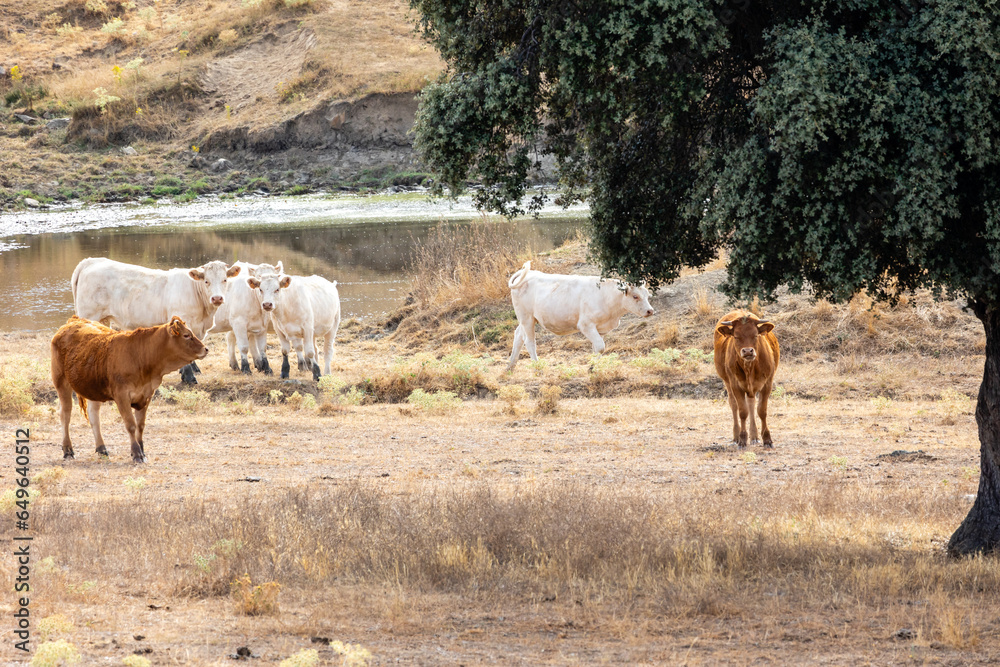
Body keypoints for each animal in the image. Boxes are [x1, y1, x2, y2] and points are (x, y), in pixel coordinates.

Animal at [51, 315, 209, 463]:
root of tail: (74, 321)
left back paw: (102, 449)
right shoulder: (122, 396)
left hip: (93, 388)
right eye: (186, 335)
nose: (205, 349)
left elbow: (140, 425)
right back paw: (68, 450)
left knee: (94, 416)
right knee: (65, 415)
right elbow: (131, 425)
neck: (139, 355)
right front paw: (136, 453)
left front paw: (142, 451)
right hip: (61, 383)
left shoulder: (146, 395)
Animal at [71, 257, 240, 384]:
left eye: (225, 280)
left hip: (102, 320)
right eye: (206, 281)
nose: (217, 298)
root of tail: (90, 261)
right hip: (89, 315)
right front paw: (189, 378)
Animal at [505, 261, 654, 370]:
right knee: (529, 342)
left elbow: (597, 348)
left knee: (518, 336)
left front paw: (595, 366)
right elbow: (600, 346)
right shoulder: (586, 324)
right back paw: (537, 367)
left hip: (525, 319)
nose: (650, 311)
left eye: (647, 295)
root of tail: (530, 273)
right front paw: (592, 367)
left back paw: (510, 367)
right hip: (526, 318)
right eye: (635, 296)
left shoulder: (600, 328)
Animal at [713, 310, 780, 448]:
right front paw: (742, 439)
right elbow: (742, 412)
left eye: (755, 335)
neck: (750, 367)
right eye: (736, 336)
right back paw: (736, 437)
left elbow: (761, 411)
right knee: (734, 405)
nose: (748, 351)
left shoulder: (767, 384)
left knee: (751, 404)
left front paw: (767, 439)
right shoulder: (735, 385)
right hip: (727, 382)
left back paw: (754, 436)